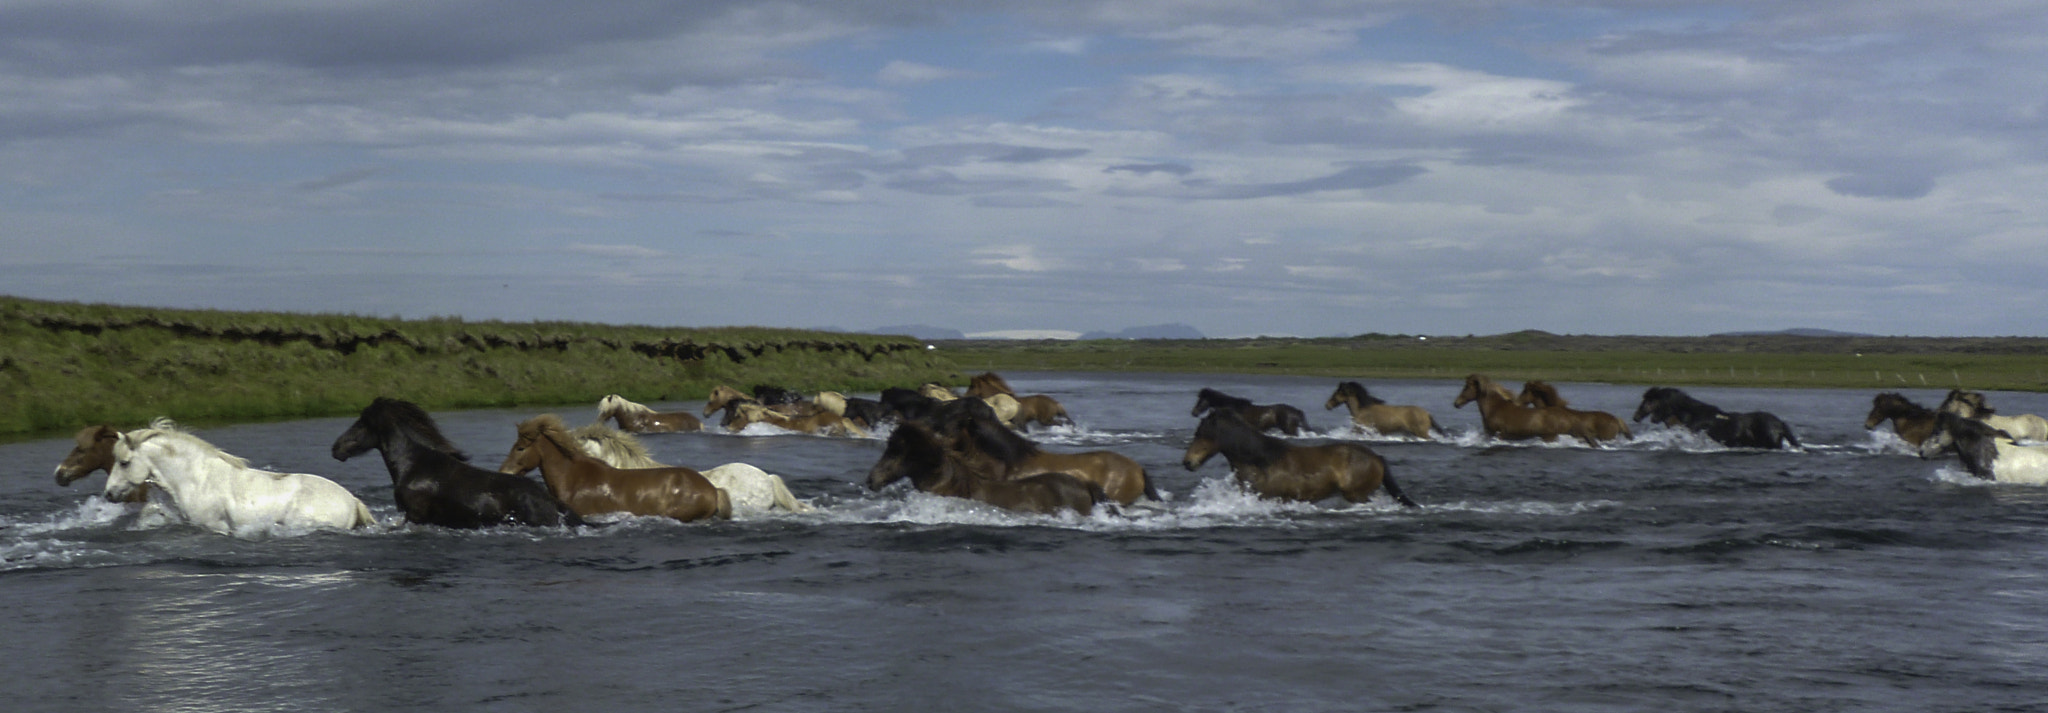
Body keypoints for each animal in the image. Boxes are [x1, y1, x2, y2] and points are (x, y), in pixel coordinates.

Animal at [1452, 374, 1591, 443]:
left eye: (1466, 387)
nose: (1456, 403)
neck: (1494, 409)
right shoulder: (1489, 433)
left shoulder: (1499, 434)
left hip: (1549, 436)